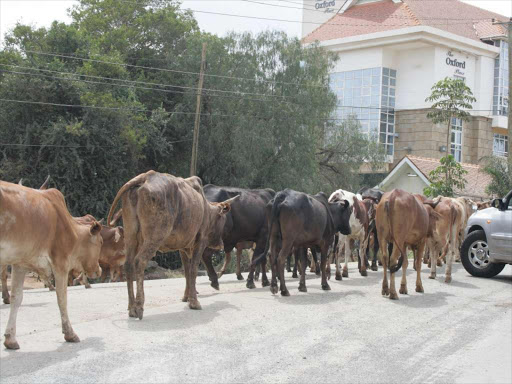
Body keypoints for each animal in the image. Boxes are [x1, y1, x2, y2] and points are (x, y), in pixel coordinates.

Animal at [0, 180, 102, 348]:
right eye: (101, 242)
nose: (99, 270)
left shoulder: (20, 264)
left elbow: (17, 298)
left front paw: (10, 338)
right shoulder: (61, 262)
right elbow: (62, 298)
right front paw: (70, 333)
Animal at [107, 172, 239, 318]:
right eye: (222, 219)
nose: (220, 244)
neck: (206, 209)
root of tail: (146, 176)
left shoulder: (183, 247)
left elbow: (186, 271)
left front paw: (186, 297)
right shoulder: (200, 242)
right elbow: (193, 270)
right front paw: (194, 302)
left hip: (131, 236)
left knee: (128, 265)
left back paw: (131, 308)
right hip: (155, 236)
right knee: (140, 261)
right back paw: (139, 307)